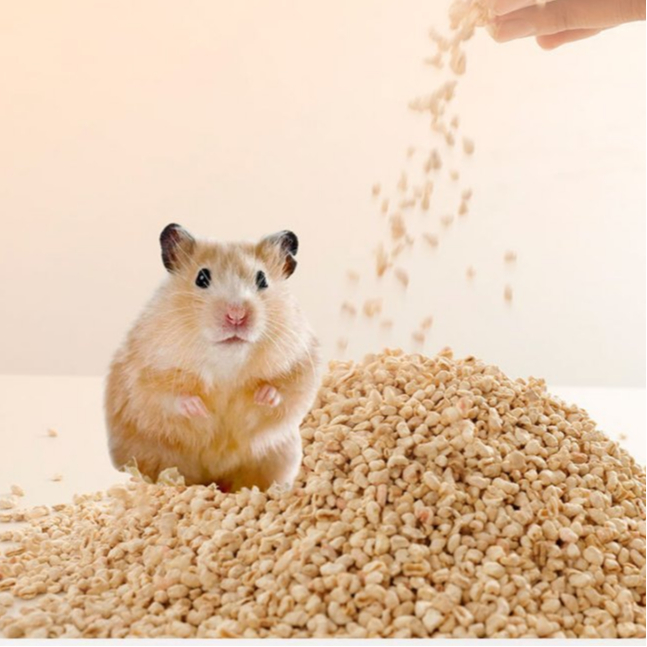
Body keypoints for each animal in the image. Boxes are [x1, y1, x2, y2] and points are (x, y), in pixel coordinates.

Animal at [105, 224, 320, 491]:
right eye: (201, 278)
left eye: (262, 279)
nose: (236, 315)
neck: (226, 360)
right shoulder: (144, 371)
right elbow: (165, 396)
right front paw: (199, 409)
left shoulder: (303, 360)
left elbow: (289, 391)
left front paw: (263, 396)